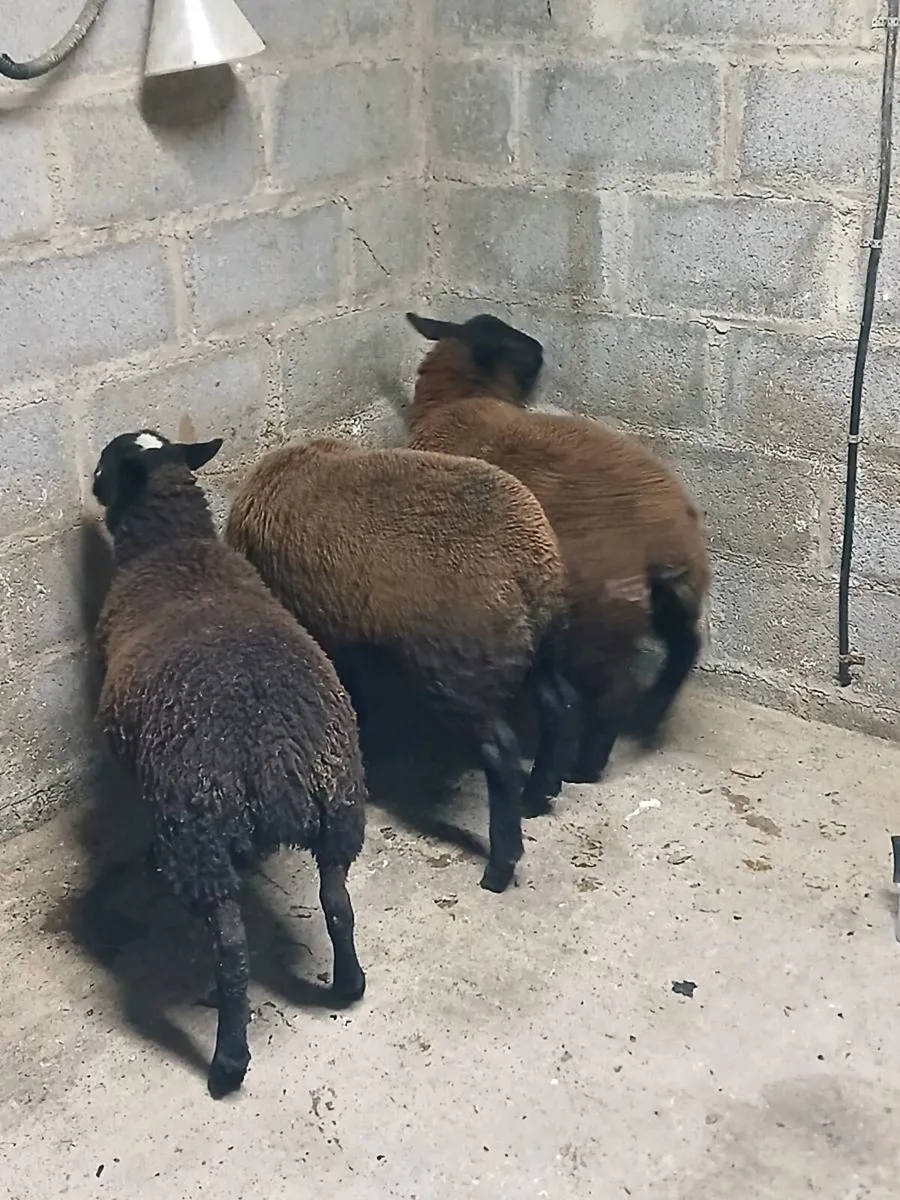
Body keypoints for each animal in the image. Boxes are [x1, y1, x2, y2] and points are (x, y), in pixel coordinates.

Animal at [90, 429, 367, 1099]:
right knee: (338, 904)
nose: (91, 480)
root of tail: (270, 751)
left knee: (234, 951)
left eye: (108, 463)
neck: (174, 547)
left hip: (198, 833)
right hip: (341, 805)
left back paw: (227, 1060)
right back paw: (348, 986)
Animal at [224, 436, 573, 894]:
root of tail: (525, 564)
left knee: (500, 753)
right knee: (557, 705)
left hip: (459, 673)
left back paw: (500, 865)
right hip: (538, 647)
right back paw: (539, 792)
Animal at [404, 310, 711, 783]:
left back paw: (585, 767)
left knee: (613, 694)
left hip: (597, 621)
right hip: (670, 597)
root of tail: (662, 538)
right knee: (685, 647)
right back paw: (651, 715)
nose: (540, 348)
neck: (457, 401)